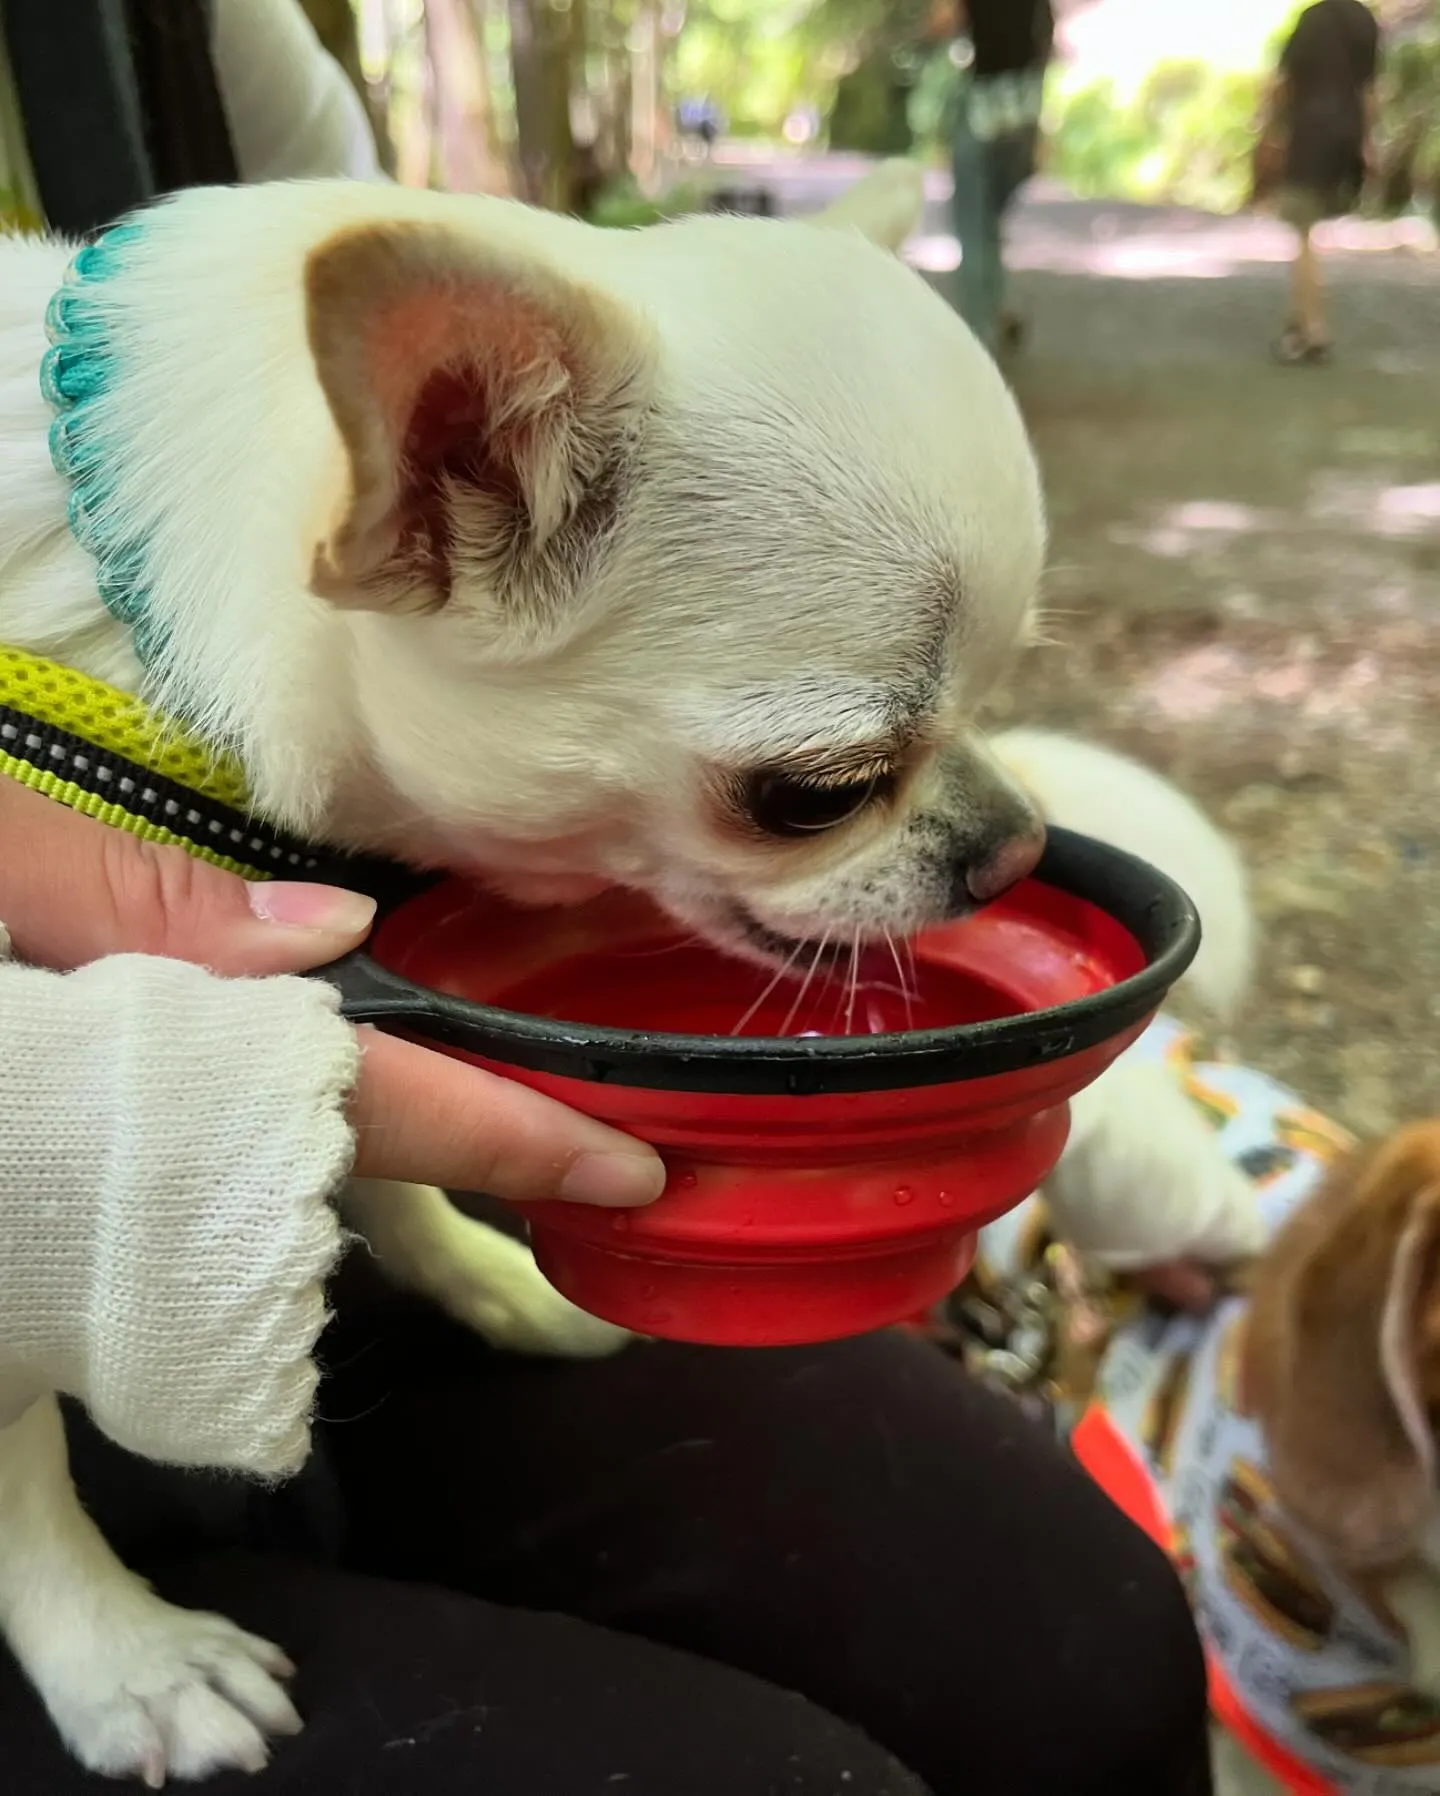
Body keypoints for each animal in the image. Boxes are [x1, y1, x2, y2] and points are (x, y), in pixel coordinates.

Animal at [0, 171, 1062, 1781]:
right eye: (816, 796)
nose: (1016, 848)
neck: (120, 632)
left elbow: (359, 1145)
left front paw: (486, 1278)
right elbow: (14, 1451)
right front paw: (118, 1654)